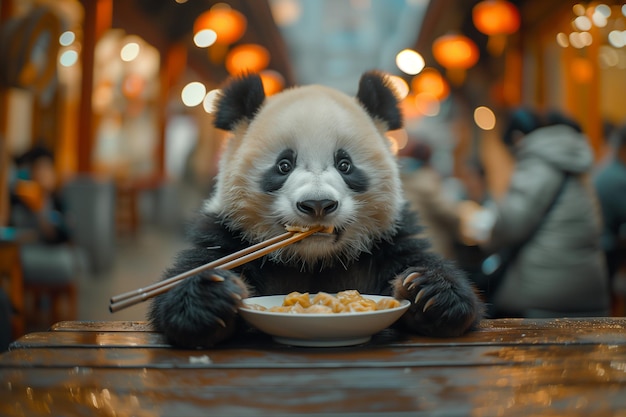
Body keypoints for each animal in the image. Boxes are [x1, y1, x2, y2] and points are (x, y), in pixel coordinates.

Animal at [147, 70, 482, 348]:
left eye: (345, 164)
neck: (313, 260)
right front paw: (208, 297)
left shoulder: (389, 240)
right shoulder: (228, 234)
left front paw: (430, 292)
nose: (318, 204)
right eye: (284, 165)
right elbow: (182, 283)